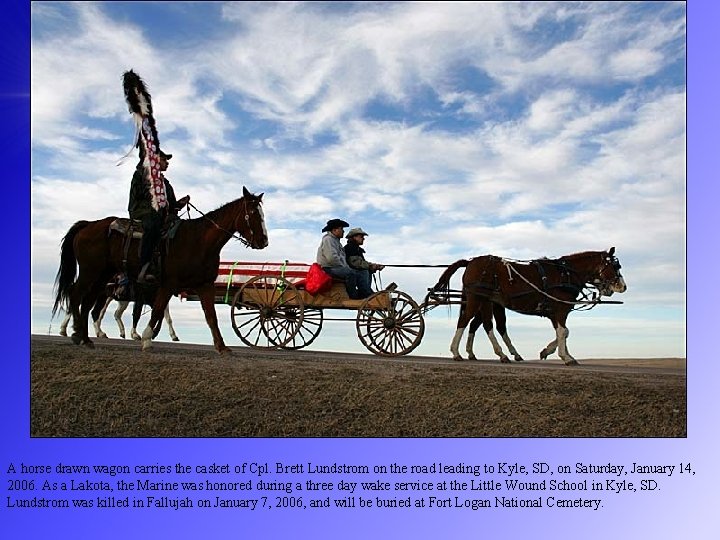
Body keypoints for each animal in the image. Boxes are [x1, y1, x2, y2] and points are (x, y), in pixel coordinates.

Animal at [52, 187, 268, 354]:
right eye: (253, 213)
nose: (264, 241)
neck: (198, 241)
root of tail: (87, 225)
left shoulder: (205, 285)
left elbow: (211, 317)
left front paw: (222, 347)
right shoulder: (168, 284)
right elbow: (156, 311)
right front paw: (147, 339)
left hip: (101, 276)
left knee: (88, 303)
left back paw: (85, 337)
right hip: (90, 271)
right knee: (76, 294)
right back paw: (76, 332)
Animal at [430, 247, 628, 364]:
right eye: (615, 266)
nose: (623, 287)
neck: (566, 273)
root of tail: (470, 261)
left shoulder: (555, 312)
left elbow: (563, 332)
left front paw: (550, 351)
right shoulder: (560, 309)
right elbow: (563, 332)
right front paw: (565, 357)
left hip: (486, 301)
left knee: (484, 325)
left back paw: (497, 354)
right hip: (476, 298)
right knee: (465, 321)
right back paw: (456, 352)